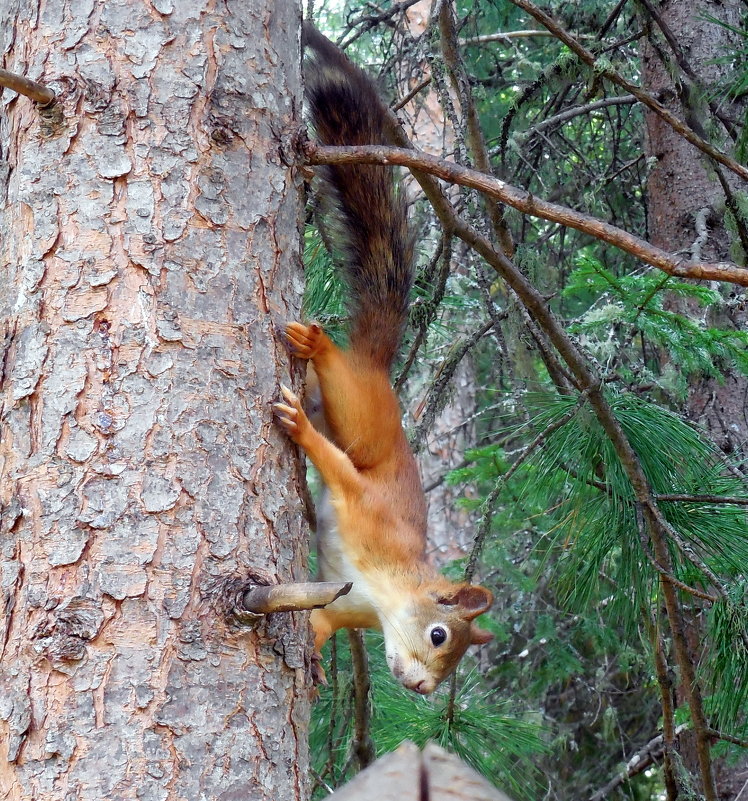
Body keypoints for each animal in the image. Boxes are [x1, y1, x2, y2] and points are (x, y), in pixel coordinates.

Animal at [274, 26, 490, 692]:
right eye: (440, 634)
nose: (422, 689)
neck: (387, 589)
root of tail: (378, 367)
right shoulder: (365, 506)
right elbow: (336, 472)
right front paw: (300, 435)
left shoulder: (344, 602)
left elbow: (322, 621)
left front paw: (316, 654)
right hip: (363, 415)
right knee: (341, 396)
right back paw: (317, 351)